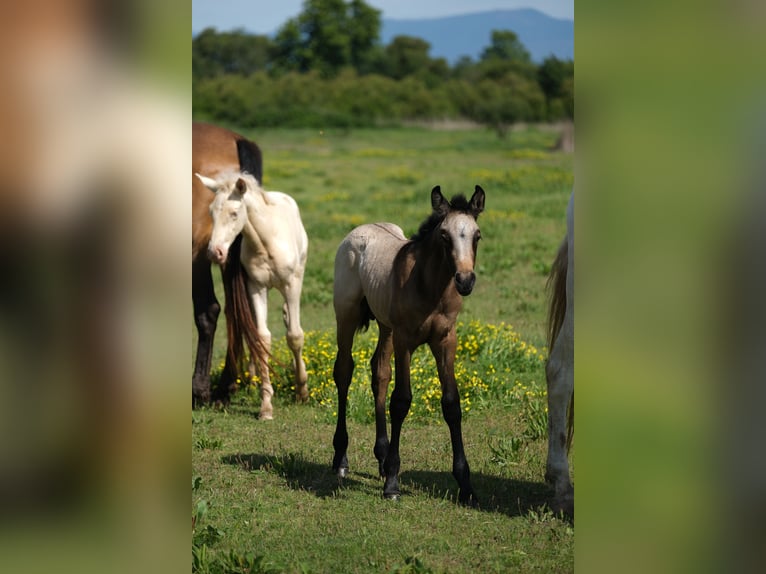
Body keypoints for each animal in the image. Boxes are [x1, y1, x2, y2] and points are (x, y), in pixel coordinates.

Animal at [196, 171, 309, 420]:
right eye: (211, 213)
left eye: (234, 213)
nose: (215, 253)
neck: (266, 243)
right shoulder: (256, 287)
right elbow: (261, 337)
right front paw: (265, 405)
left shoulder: (291, 284)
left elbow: (295, 336)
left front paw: (302, 390)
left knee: (291, 322)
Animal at [332, 185, 485, 505]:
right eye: (444, 236)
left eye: (477, 235)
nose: (465, 280)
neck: (430, 287)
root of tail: (359, 230)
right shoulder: (405, 340)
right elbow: (401, 401)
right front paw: (393, 483)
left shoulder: (445, 341)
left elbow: (451, 404)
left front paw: (466, 485)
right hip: (347, 315)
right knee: (344, 371)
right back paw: (341, 459)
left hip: (386, 327)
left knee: (379, 372)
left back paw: (380, 456)